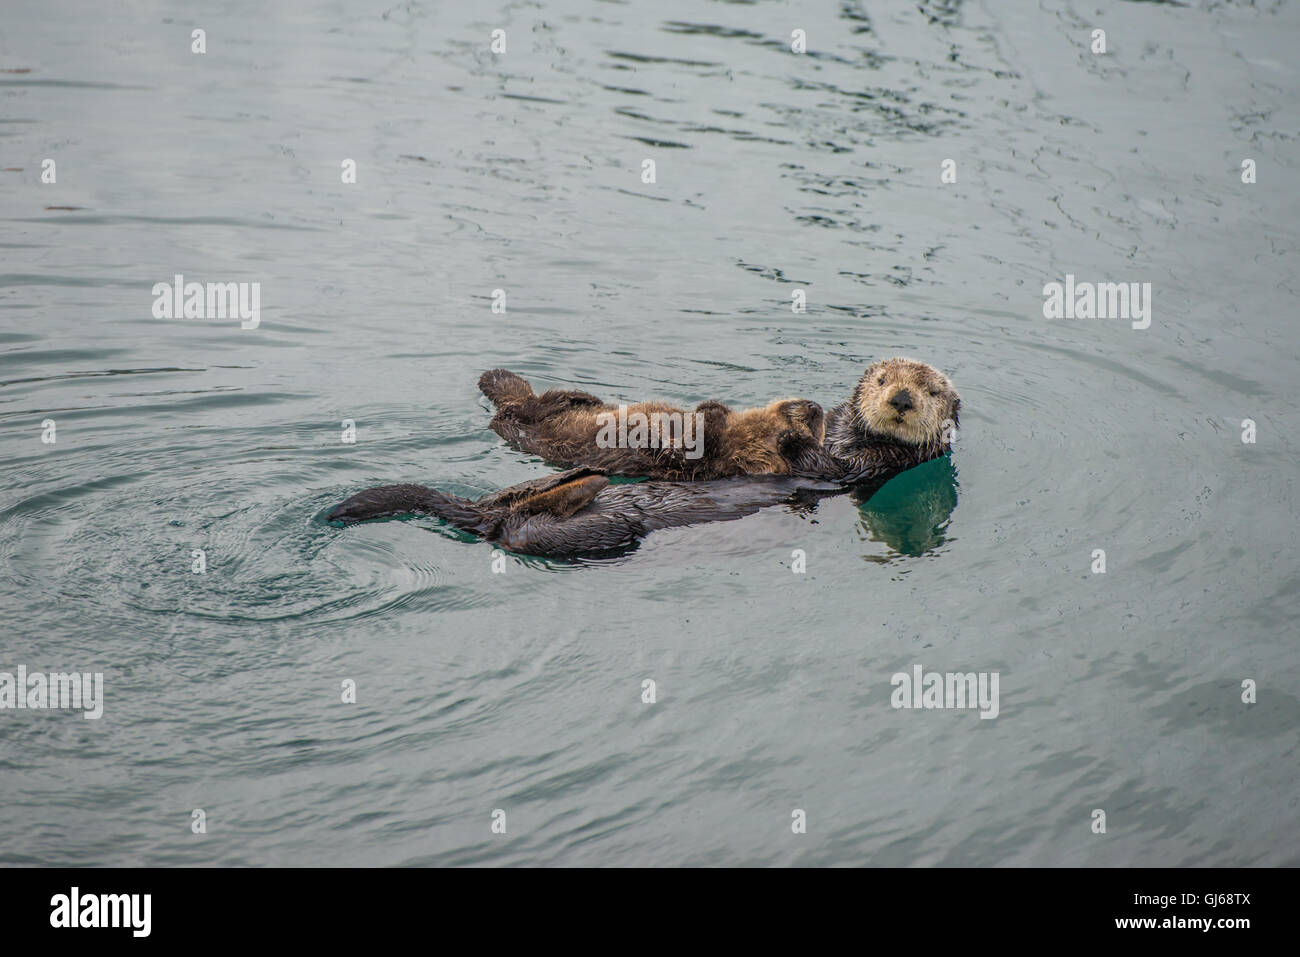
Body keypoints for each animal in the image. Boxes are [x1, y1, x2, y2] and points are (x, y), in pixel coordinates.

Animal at [483, 369, 826, 481]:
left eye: (812, 434)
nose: (816, 407)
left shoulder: (710, 467)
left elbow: (688, 453)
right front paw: (710, 409)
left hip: (521, 422)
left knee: (522, 408)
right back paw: (582, 397)